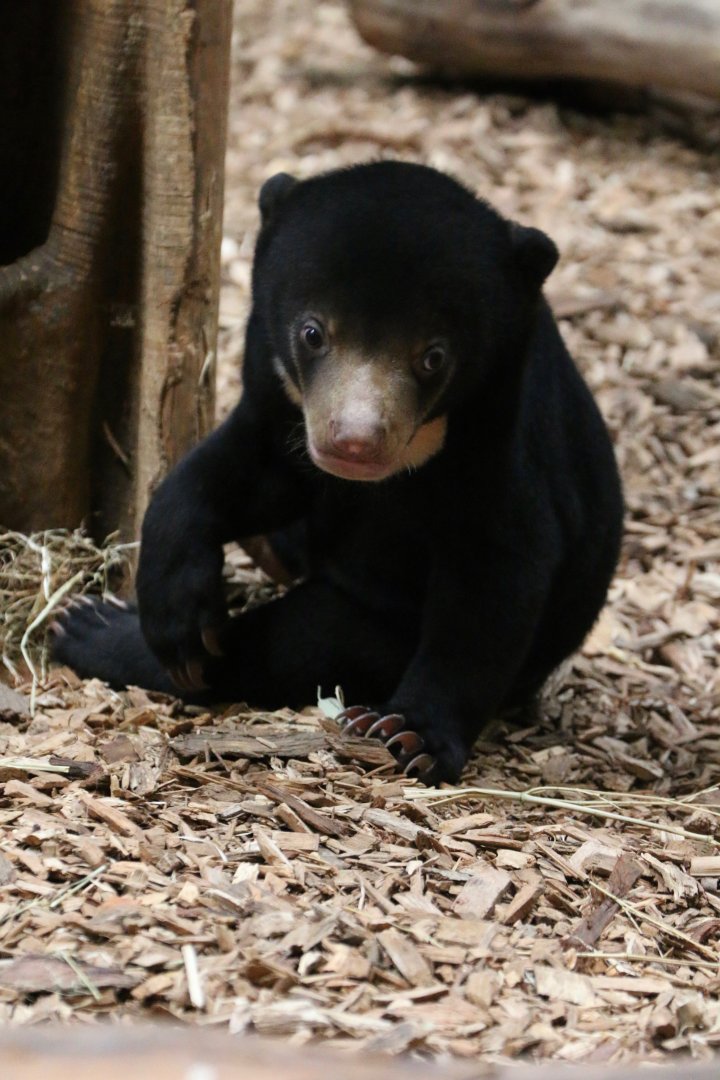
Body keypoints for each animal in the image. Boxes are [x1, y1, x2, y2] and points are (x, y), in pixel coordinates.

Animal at [52, 160, 624, 784]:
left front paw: (408, 735)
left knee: (291, 646)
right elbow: (233, 475)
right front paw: (178, 618)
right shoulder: (277, 396)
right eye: (313, 332)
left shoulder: (502, 443)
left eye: (434, 357)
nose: (354, 442)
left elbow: (494, 582)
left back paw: (90, 629)